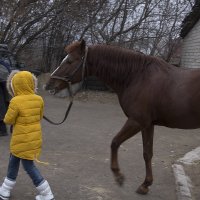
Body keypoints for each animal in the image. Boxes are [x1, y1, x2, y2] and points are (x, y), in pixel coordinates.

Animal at [45, 39, 200, 195]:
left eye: (70, 61)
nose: (48, 85)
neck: (138, 77)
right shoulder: (147, 124)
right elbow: (147, 153)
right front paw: (145, 185)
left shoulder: (136, 121)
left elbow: (114, 142)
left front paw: (118, 175)